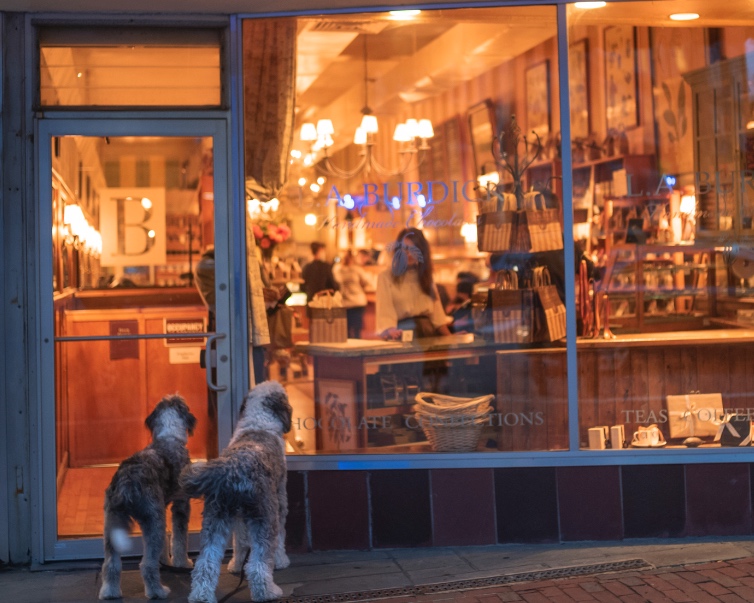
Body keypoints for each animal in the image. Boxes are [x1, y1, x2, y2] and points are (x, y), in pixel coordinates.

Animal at [99, 396, 197, 600]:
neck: (169, 437)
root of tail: (126, 482)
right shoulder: (181, 505)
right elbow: (179, 539)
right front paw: (182, 563)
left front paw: (166, 560)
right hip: (153, 520)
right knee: (146, 565)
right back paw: (158, 591)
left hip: (112, 522)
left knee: (111, 564)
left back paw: (110, 592)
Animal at [181, 382, 292, 603]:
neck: (259, 423)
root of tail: (233, 467)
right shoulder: (280, 501)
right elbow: (280, 539)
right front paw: (282, 560)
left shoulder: (239, 519)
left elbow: (240, 542)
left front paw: (235, 565)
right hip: (264, 516)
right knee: (257, 565)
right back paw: (268, 593)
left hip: (216, 519)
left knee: (206, 563)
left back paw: (201, 596)